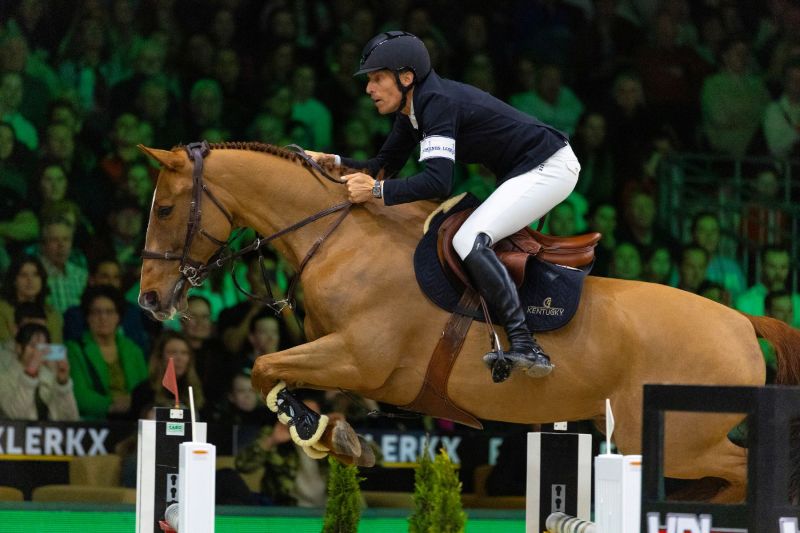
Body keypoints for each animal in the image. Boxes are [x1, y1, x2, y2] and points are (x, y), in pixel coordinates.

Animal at [138, 140, 800, 498]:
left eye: (166, 209)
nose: (149, 300)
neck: (341, 237)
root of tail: (743, 322)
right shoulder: (345, 363)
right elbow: (273, 373)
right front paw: (336, 435)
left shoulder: (359, 358)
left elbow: (263, 366)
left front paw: (324, 434)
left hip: (676, 438)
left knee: (746, 471)